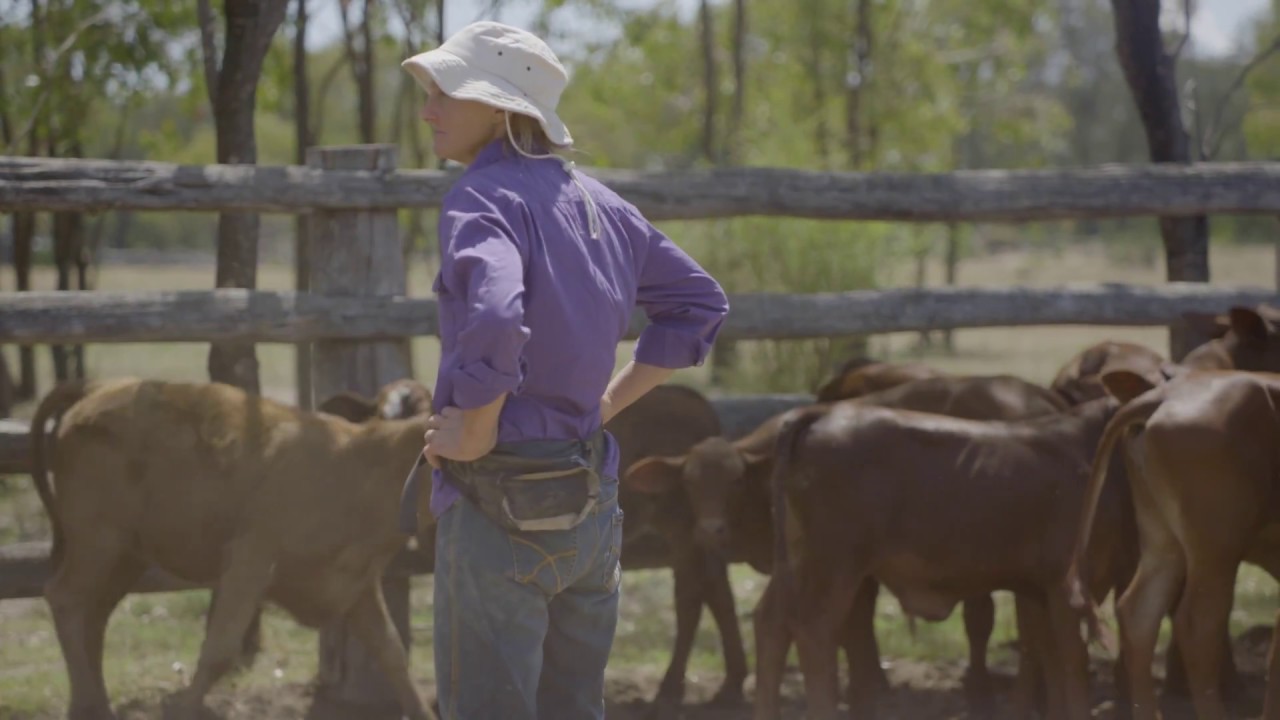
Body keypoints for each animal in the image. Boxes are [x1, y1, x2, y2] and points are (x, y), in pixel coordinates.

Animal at [30, 376, 437, 717]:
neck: (359, 472)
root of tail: (96, 391)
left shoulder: (356, 583)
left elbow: (392, 652)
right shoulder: (250, 561)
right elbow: (219, 651)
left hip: (125, 555)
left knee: (93, 617)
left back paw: (90, 705)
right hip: (97, 540)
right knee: (67, 599)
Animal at [627, 371, 1070, 707]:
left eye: (734, 480)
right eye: (689, 482)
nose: (709, 530)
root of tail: (1036, 394)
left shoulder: (848, 568)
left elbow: (852, 631)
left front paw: (866, 692)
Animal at [757, 394, 1131, 717]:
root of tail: (823, 412)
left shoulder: (1037, 590)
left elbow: (1046, 658)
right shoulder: (1066, 584)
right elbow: (1072, 662)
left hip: (797, 560)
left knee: (772, 623)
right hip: (835, 564)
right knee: (814, 632)